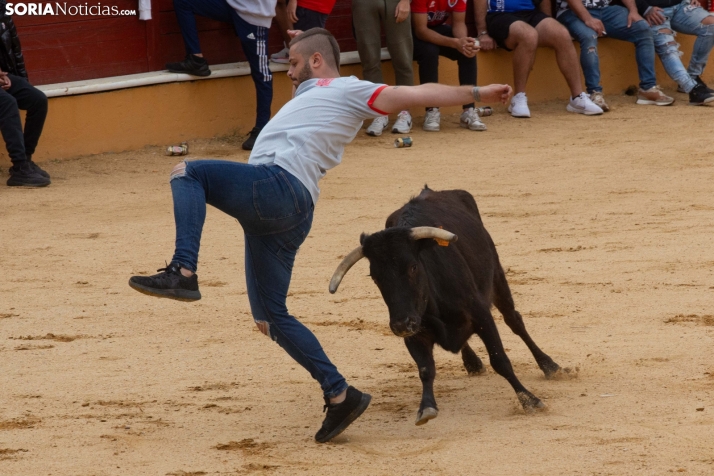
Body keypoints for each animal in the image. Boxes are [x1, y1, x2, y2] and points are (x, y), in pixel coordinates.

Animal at [330, 188, 560, 426]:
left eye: (413, 267)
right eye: (375, 277)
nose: (400, 325)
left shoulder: (481, 316)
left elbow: (500, 360)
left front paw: (530, 400)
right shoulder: (415, 332)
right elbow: (425, 369)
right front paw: (426, 408)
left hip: (497, 277)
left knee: (514, 320)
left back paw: (550, 366)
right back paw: (473, 364)